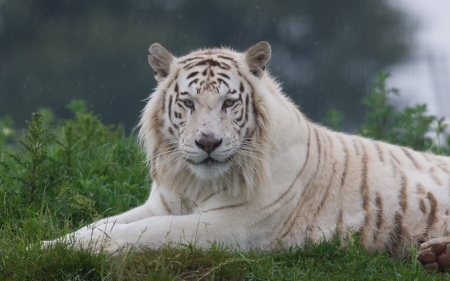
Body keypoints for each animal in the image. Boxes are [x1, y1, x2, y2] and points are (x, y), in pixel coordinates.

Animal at [44, 41, 450, 270]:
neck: (196, 185)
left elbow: (142, 234)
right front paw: (47, 246)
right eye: (188, 103)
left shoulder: (232, 225)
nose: (208, 142)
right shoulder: (160, 204)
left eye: (229, 102)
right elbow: (98, 225)